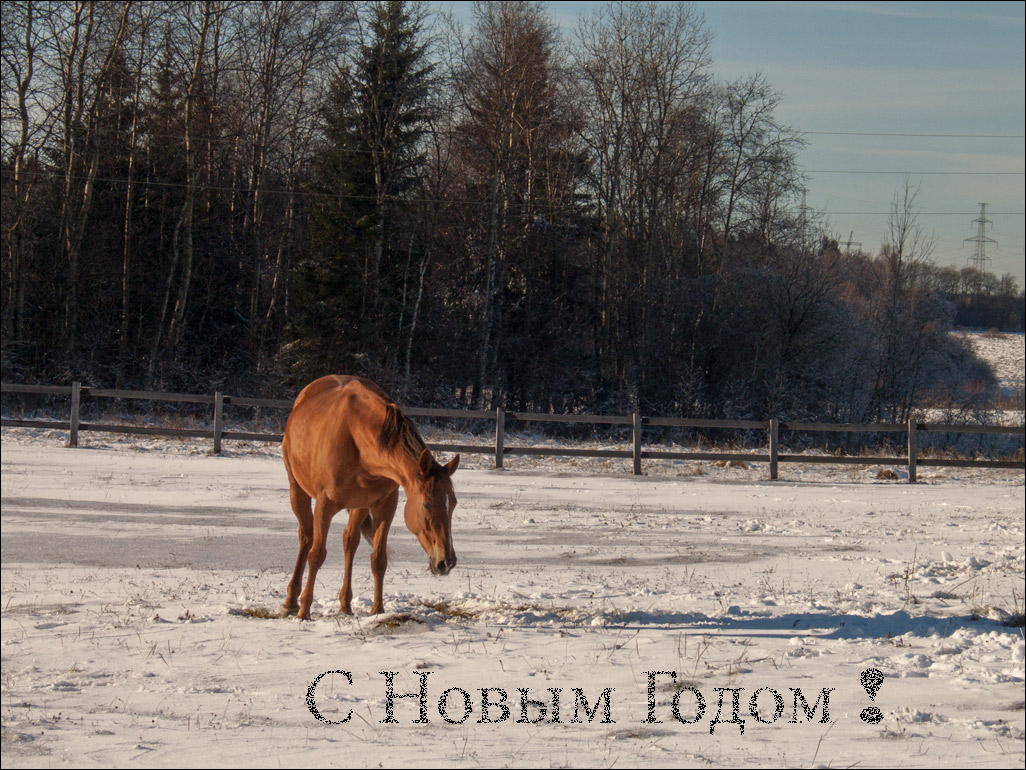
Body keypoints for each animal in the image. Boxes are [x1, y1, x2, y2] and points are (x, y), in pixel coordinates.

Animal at [279, 375, 459, 620]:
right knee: (306, 537)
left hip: (359, 505)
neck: (358, 441)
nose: (446, 562)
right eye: (427, 504)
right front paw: (305, 610)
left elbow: (378, 559)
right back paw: (291, 601)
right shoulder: (325, 505)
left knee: (349, 541)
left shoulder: (386, 505)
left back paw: (345, 604)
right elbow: (317, 555)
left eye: (453, 504)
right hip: (297, 490)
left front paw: (378, 610)